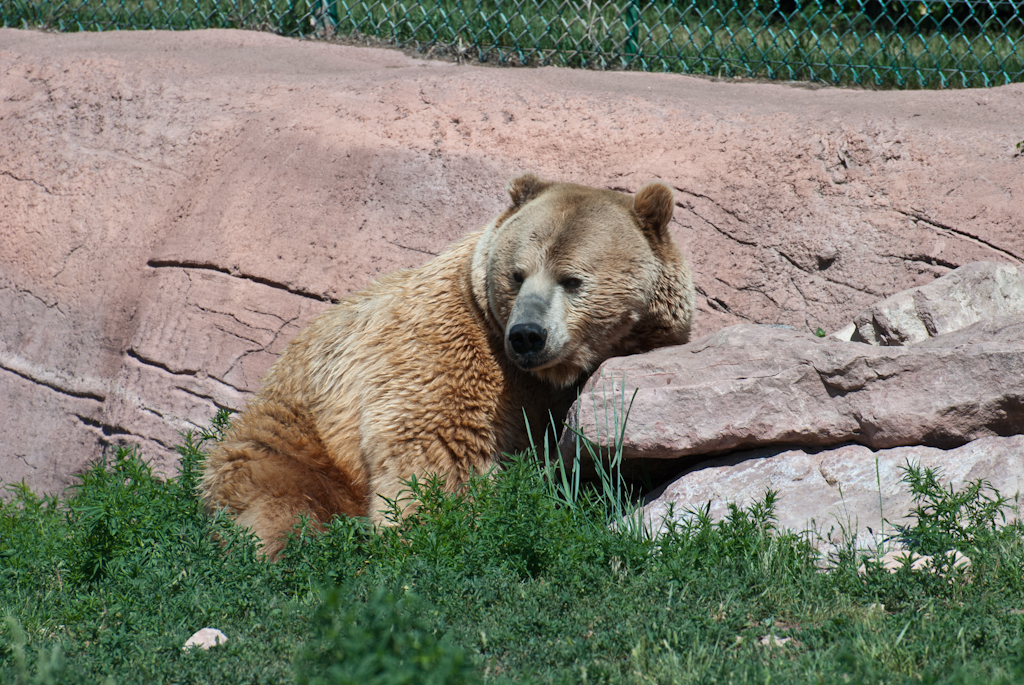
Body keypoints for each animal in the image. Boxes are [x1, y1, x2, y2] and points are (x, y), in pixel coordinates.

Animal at [199, 172, 696, 557]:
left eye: (572, 279)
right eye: (517, 274)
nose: (527, 334)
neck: (542, 376)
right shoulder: (450, 345)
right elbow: (441, 446)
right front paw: (443, 526)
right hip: (295, 440)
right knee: (280, 501)